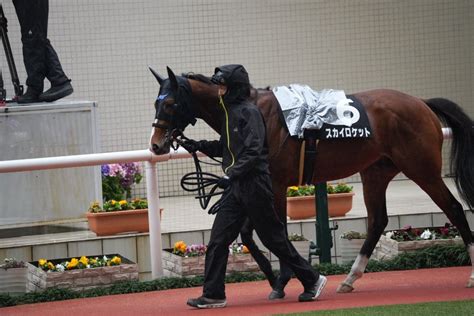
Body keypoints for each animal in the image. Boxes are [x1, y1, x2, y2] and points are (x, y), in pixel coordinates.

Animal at [149, 66, 474, 292]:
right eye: (156, 103)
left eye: (170, 104)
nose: (155, 145)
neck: (248, 110)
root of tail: (422, 102)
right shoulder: (260, 186)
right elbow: (248, 234)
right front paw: (275, 277)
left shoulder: (277, 184)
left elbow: (276, 231)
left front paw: (286, 278)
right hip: (376, 172)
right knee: (378, 221)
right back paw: (350, 279)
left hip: (422, 169)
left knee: (454, 209)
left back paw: (471, 273)